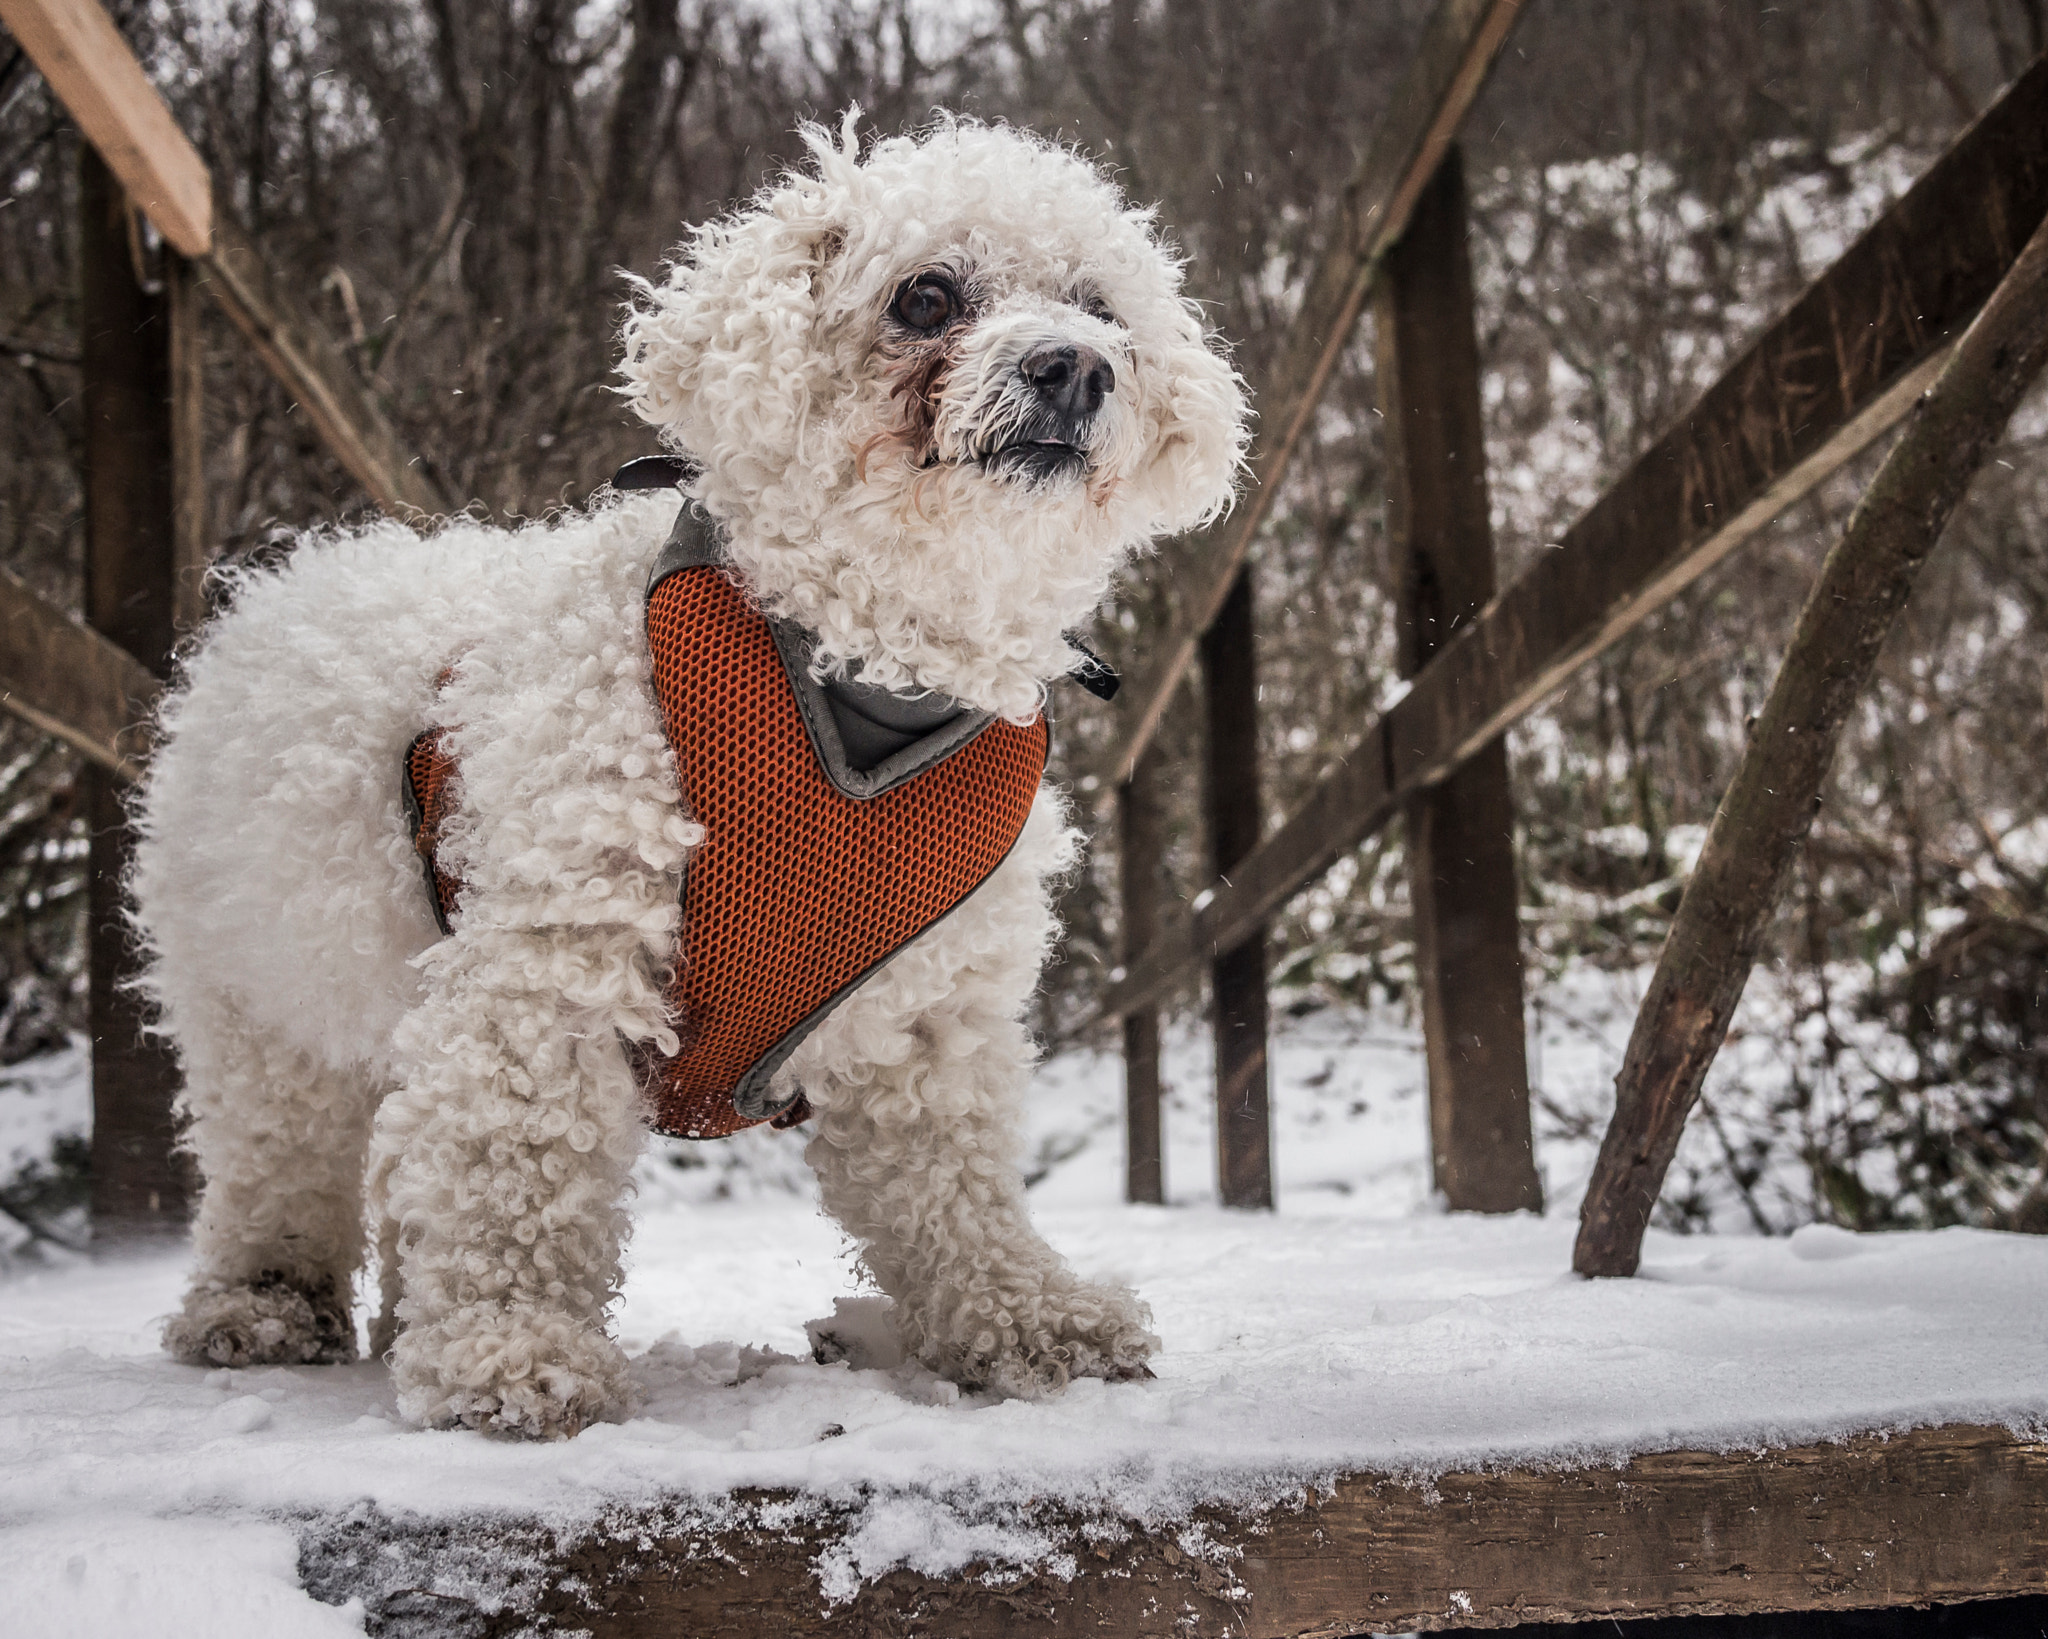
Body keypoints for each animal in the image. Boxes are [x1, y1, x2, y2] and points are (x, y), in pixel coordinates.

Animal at [136, 115, 1245, 1442]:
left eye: (1098, 308)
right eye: (926, 295)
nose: (1073, 368)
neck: (852, 676)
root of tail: (282, 583)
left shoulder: (922, 1013)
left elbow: (953, 1188)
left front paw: (1024, 1317)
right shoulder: (544, 972)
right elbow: (517, 1167)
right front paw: (512, 1353)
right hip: (257, 1001)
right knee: (278, 1159)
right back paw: (257, 1306)